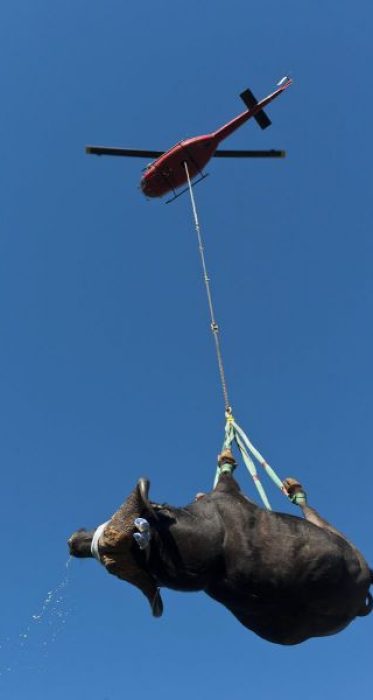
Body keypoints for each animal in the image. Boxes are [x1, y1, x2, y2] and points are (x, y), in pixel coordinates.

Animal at [67, 454, 370, 644]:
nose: (75, 541)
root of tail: (360, 603)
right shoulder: (227, 494)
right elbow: (227, 476)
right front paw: (226, 461)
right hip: (356, 555)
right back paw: (296, 491)